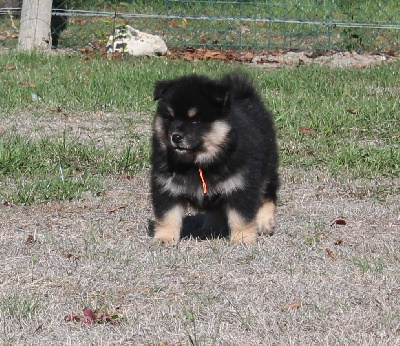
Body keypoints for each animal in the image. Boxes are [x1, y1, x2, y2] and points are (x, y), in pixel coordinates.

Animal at [150, 72, 278, 246]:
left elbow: (241, 217)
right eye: (170, 118)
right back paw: (211, 228)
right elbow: (167, 216)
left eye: (195, 120)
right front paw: (164, 238)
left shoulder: (241, 184)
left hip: (267, 167)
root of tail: (245, 96)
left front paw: (242, 238)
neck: (198, 162)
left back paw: (264, 222)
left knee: (267, 194)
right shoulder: (166, 186)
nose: (175, 137)